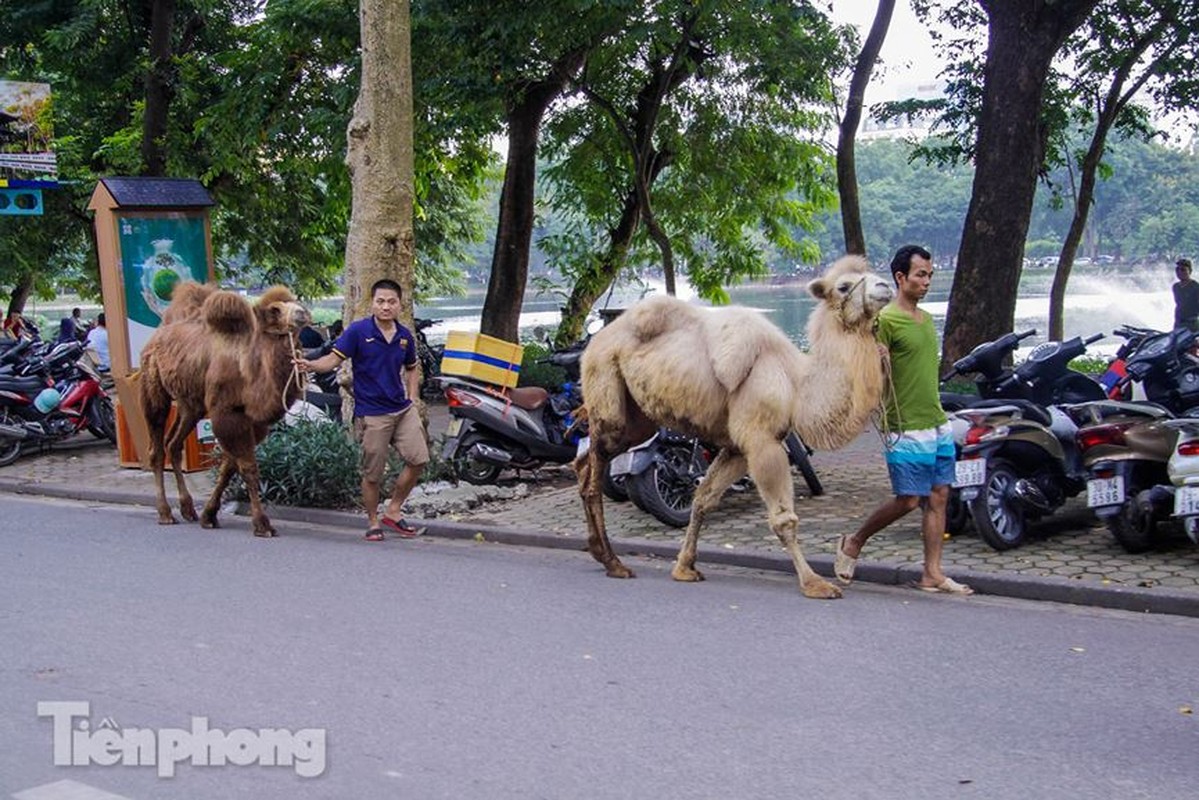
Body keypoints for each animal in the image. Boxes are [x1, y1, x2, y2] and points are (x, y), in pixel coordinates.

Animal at [140, 281, 311, 537]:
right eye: (276, 310)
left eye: (297, 303)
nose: (302, 313)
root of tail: (156, 335)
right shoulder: (227, 413)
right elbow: (248, 467)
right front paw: (262, 524)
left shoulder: (253, 421)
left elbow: (228, 467)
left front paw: (209, 515)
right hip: (153, 387)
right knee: (156, 447)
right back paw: (165, 513)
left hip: (190, 404)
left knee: (174, 443)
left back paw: (188, 509)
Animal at [575, 253, 896, 597]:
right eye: (844, 286)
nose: (885, 286)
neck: (796, 386)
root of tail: (595, 343)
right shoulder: (762, 441)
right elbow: (784, 519)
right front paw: (815, 584)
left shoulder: (738, 448)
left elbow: (703, 498)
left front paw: (684, 567)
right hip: (607, 392)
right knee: (593, 476)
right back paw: (614, 563)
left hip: (638, 421)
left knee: (584, 464)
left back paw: (602, 553)